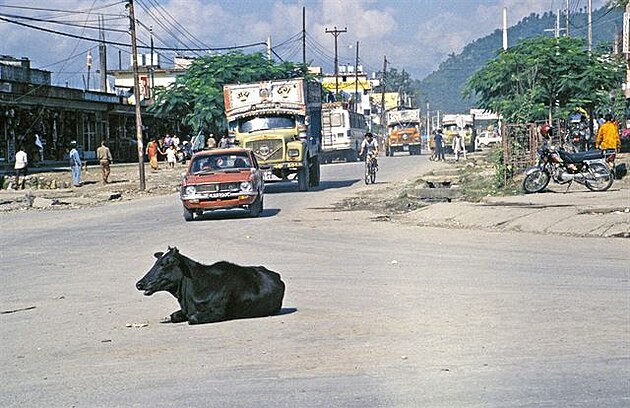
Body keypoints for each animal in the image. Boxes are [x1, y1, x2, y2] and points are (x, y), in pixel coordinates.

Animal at [138, 245, 288, 326]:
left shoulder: (217, 313)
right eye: (156, 262)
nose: (139, 284)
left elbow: (192, 318)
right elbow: (174, 316)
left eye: (165, 263)